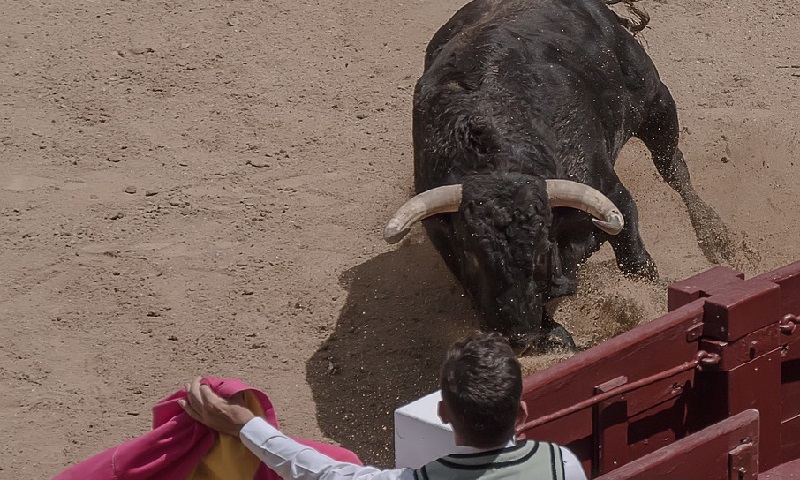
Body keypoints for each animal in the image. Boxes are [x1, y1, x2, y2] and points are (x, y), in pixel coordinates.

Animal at [384, 0, 736, 348]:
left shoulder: (613, 196)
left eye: (540, 251)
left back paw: (717, 238)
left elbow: (636, 262)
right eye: (469, 254)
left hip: (655, 101)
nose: (518, 335)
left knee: (674, 170)